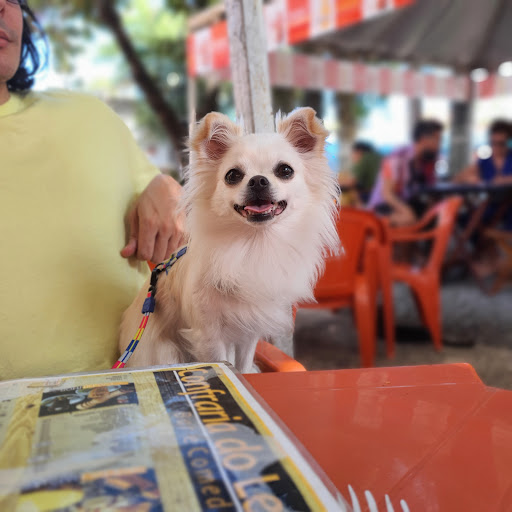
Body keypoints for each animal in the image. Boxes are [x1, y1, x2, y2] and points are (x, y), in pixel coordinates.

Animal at [119, 107, 339, 373]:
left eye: (285, 171)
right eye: (233, 176)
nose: (258, 180)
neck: (255, 244)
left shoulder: (248, 330)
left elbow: (242, 365)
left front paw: (245, 374)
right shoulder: (208, 335)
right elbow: (220, 359)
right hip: (165, 350)